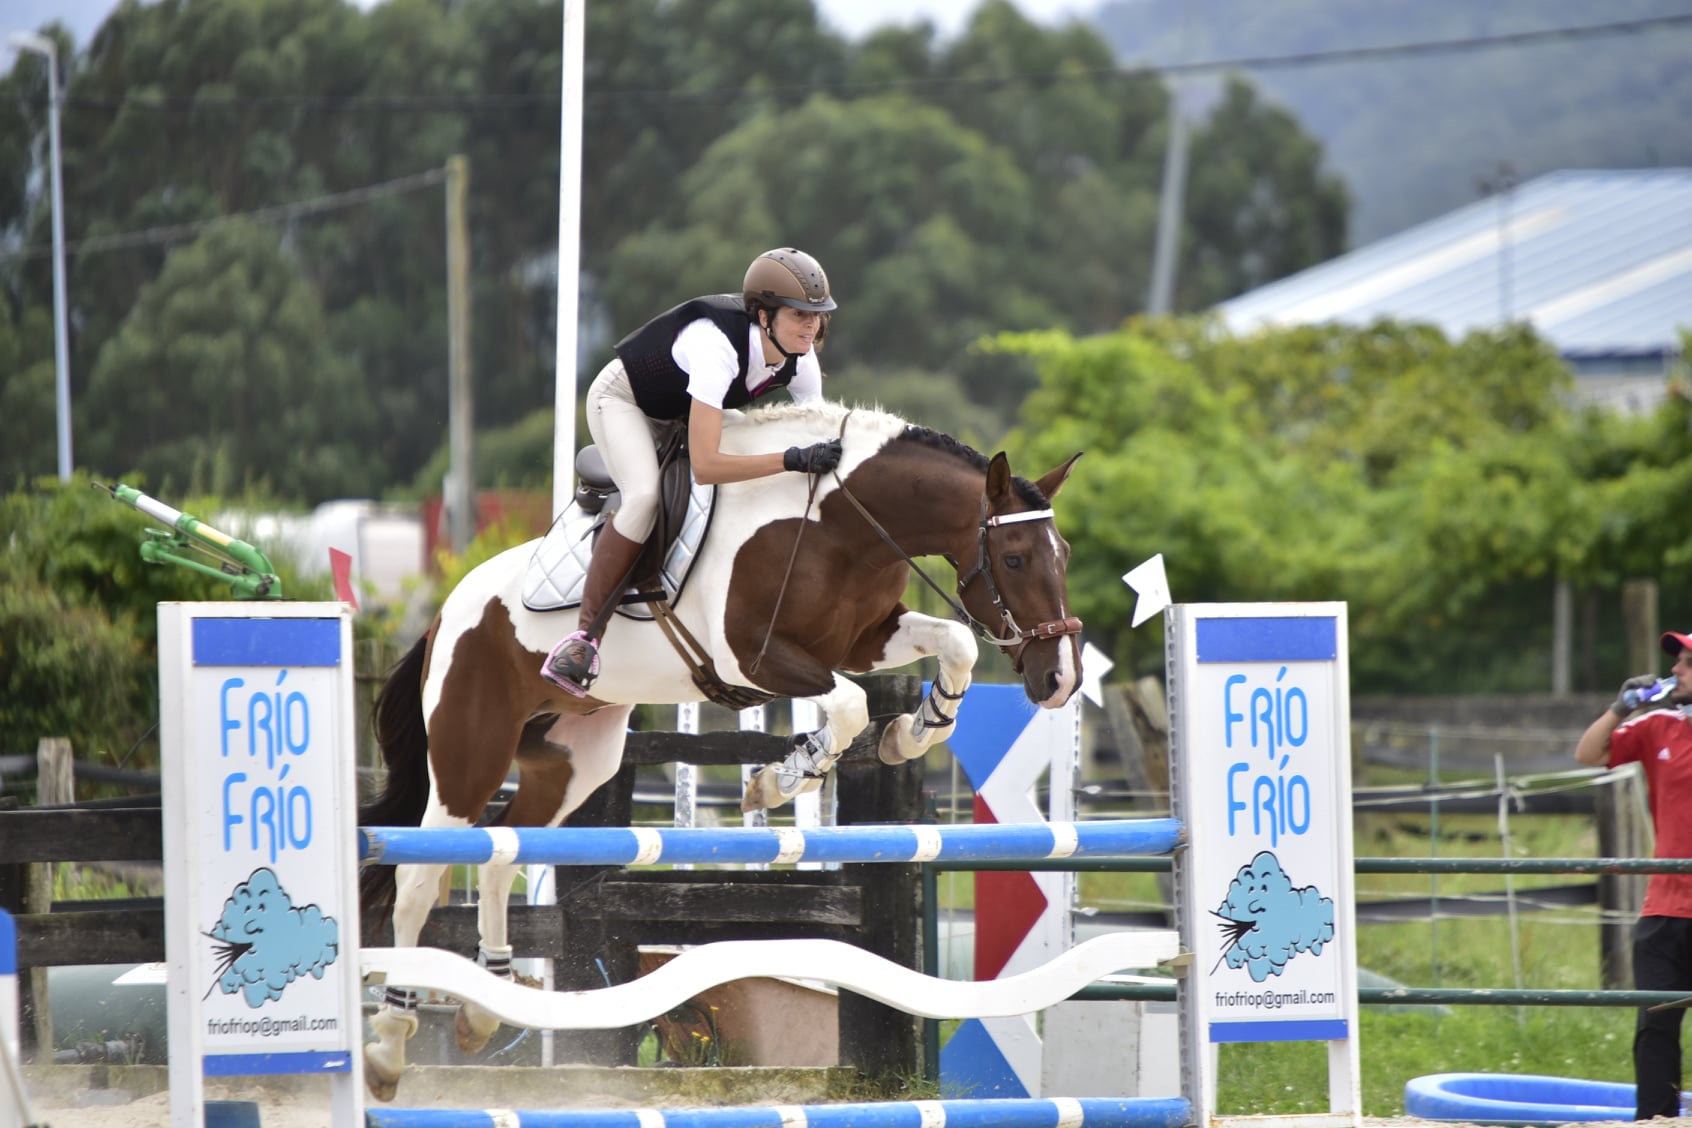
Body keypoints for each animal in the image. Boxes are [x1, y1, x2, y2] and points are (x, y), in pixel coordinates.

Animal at [357, 400, 1083, 1101]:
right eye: (1014, 559)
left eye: (1066, 553)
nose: (1059, 680)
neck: (837, 525)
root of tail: (445, 616)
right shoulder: (756, 660)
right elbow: (850, 704)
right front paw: (785, 778)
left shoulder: (864, 638)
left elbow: (953, 646)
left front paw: (913, 731)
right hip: (470, 751)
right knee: (420, 877)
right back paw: (391, 1043)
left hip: (573, 761)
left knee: (502, 852)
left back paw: (482, 1011)